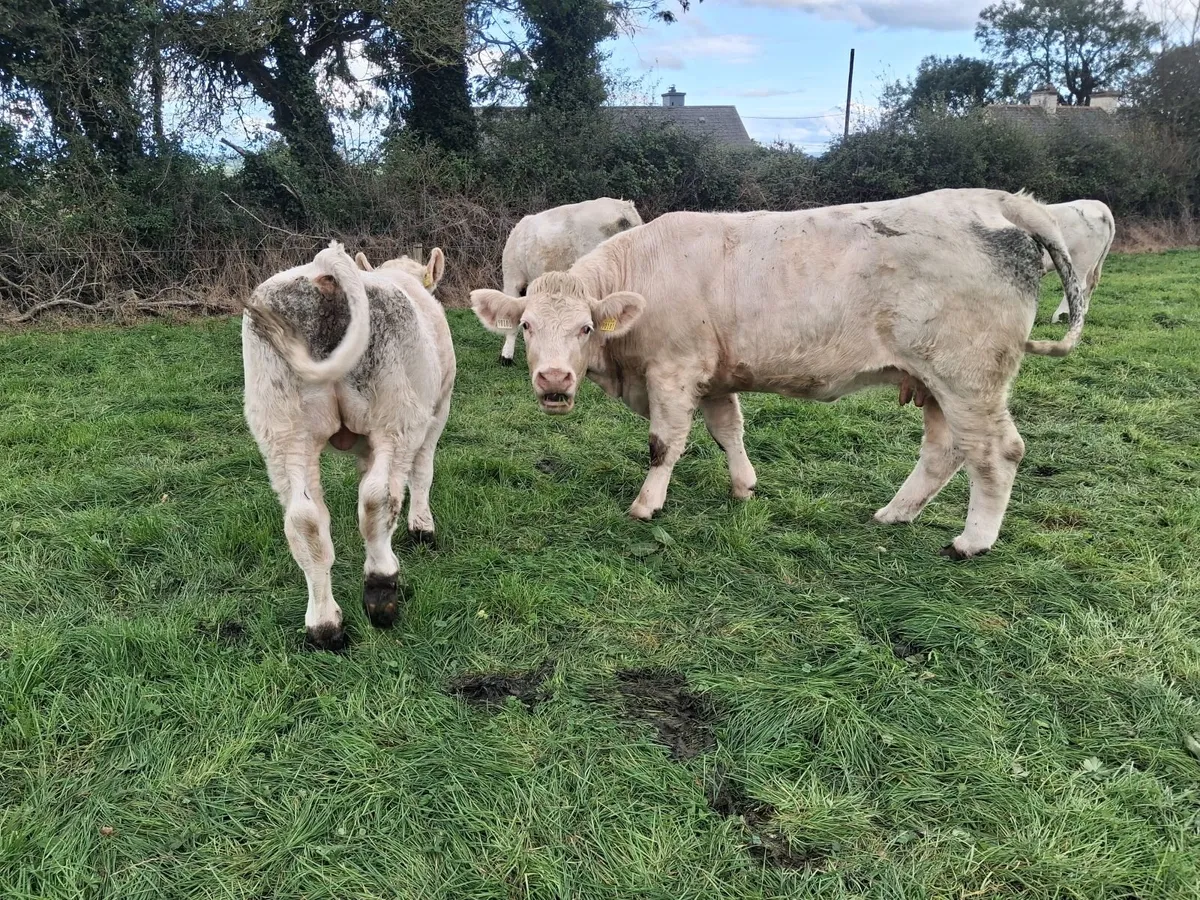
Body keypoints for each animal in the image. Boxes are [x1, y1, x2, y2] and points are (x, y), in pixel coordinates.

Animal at [243, 241, 455, 651]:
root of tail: (323, 270)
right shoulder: (438, 410)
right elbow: (423, 471)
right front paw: (423, 527)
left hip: (281, 430)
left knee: (304, 519)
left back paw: (324, 625)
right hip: (397, 415)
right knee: (378, 496)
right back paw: (381, 585)